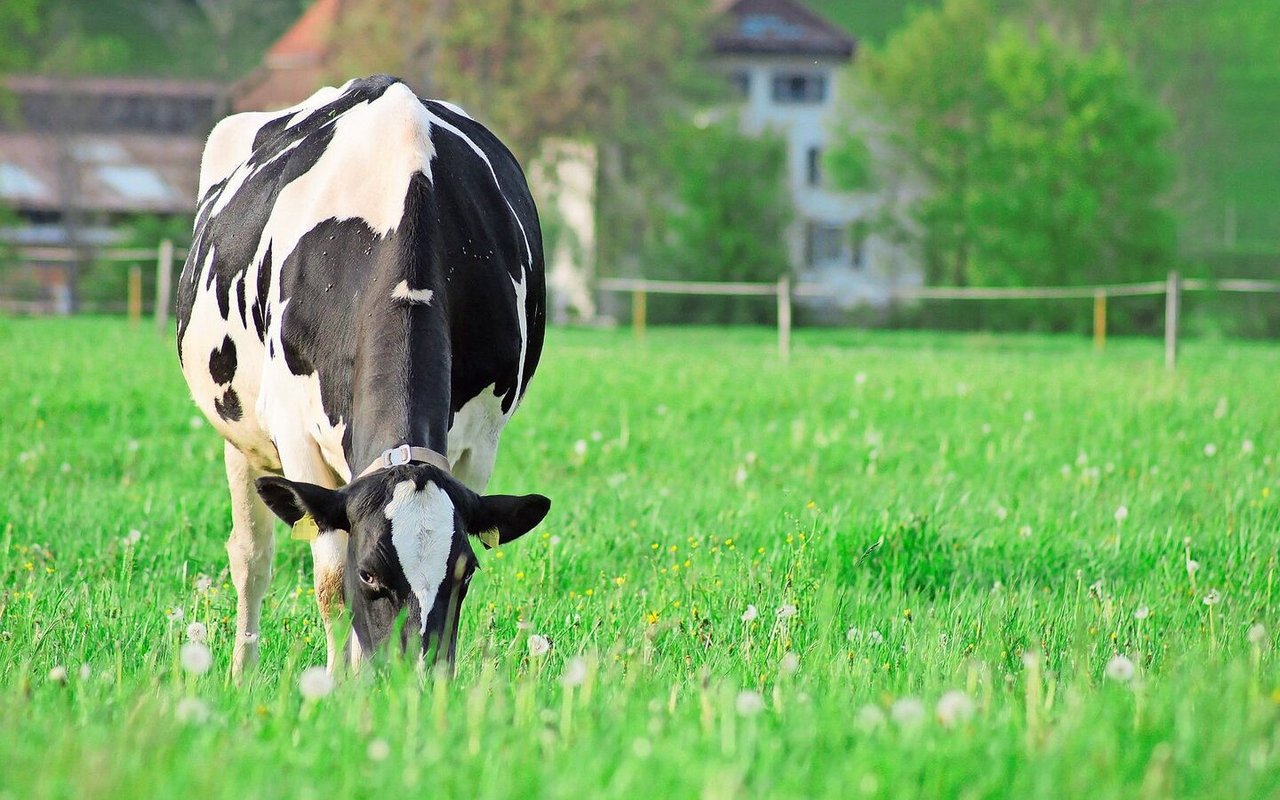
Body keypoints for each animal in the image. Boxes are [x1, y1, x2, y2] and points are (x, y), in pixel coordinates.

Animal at [176, 74, 550, 675]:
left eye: (465, 573)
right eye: (370, 573)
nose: (416, 678)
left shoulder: (479, 445)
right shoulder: (298, 438)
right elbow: (331, 585)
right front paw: (340, 683)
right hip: (240, 432)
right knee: (251, 558)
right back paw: (242, 670)